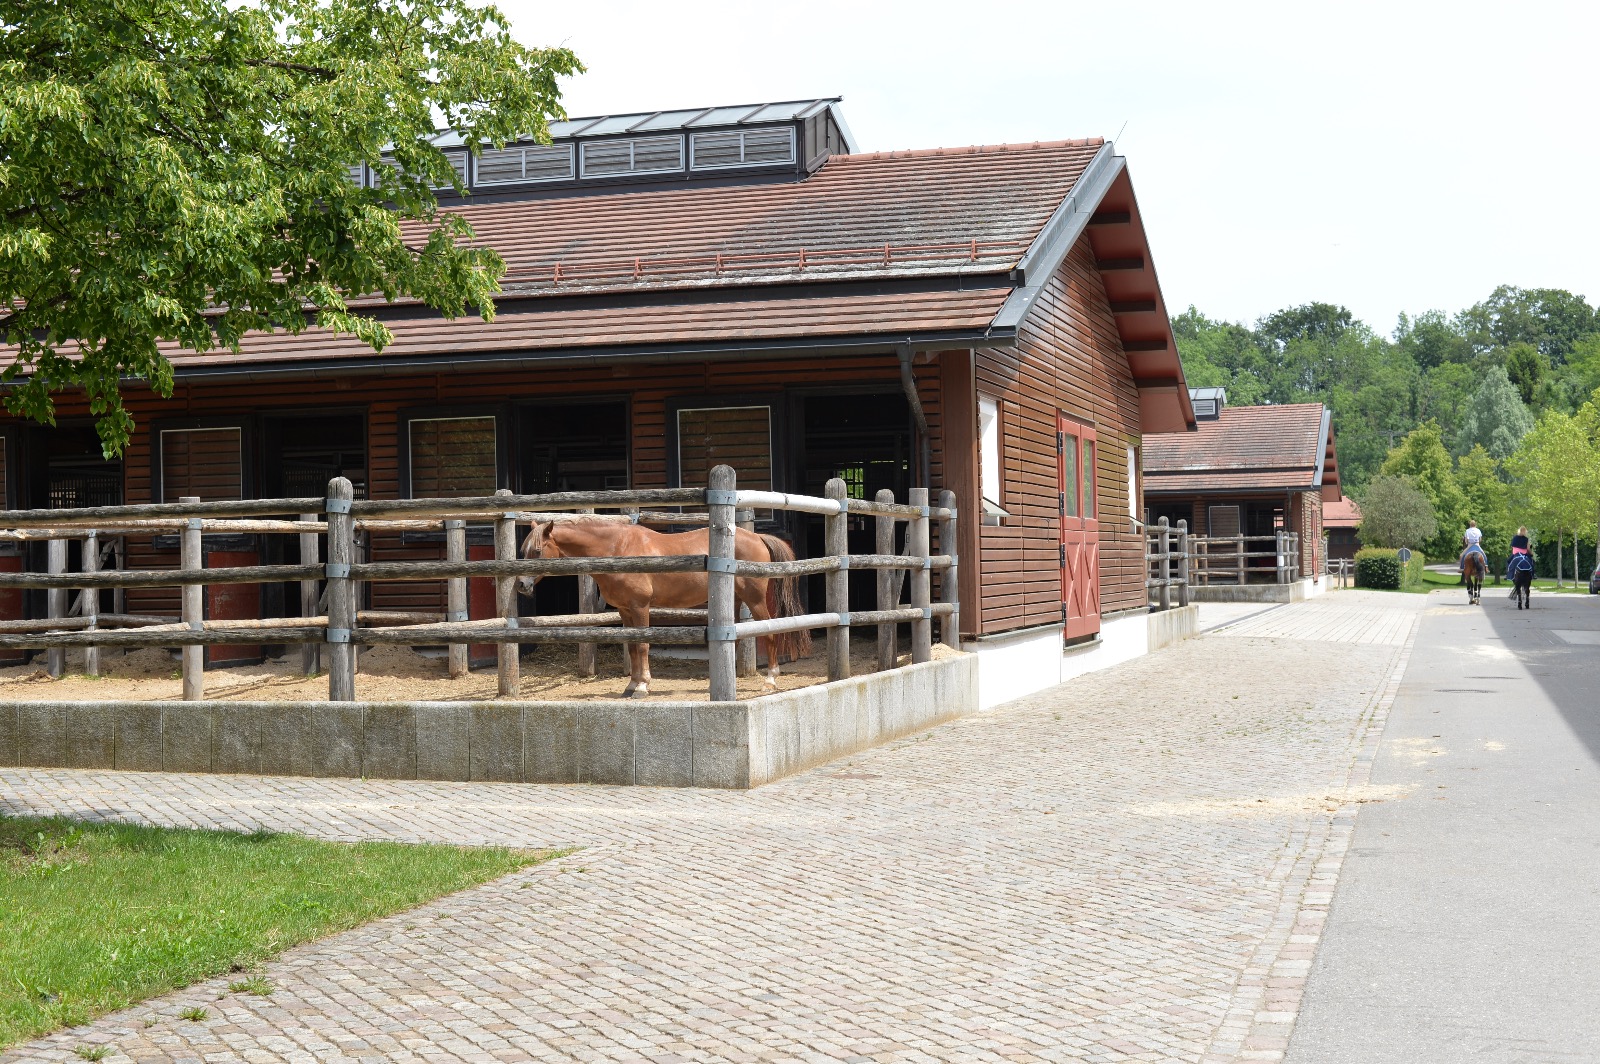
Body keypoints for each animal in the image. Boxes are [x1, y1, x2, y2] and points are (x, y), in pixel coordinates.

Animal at [515, 515, 806, 697]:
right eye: (523, 551)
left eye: (537, 551)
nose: (521, 584)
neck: (617, 549)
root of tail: (757, 538)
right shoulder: (625, 611)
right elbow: (633, 647)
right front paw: (631, 685)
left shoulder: (640, 607)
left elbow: (643, 645)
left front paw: (643, 687)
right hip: (733, 600)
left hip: (755, 599)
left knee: (770, 632)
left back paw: (770, 679)